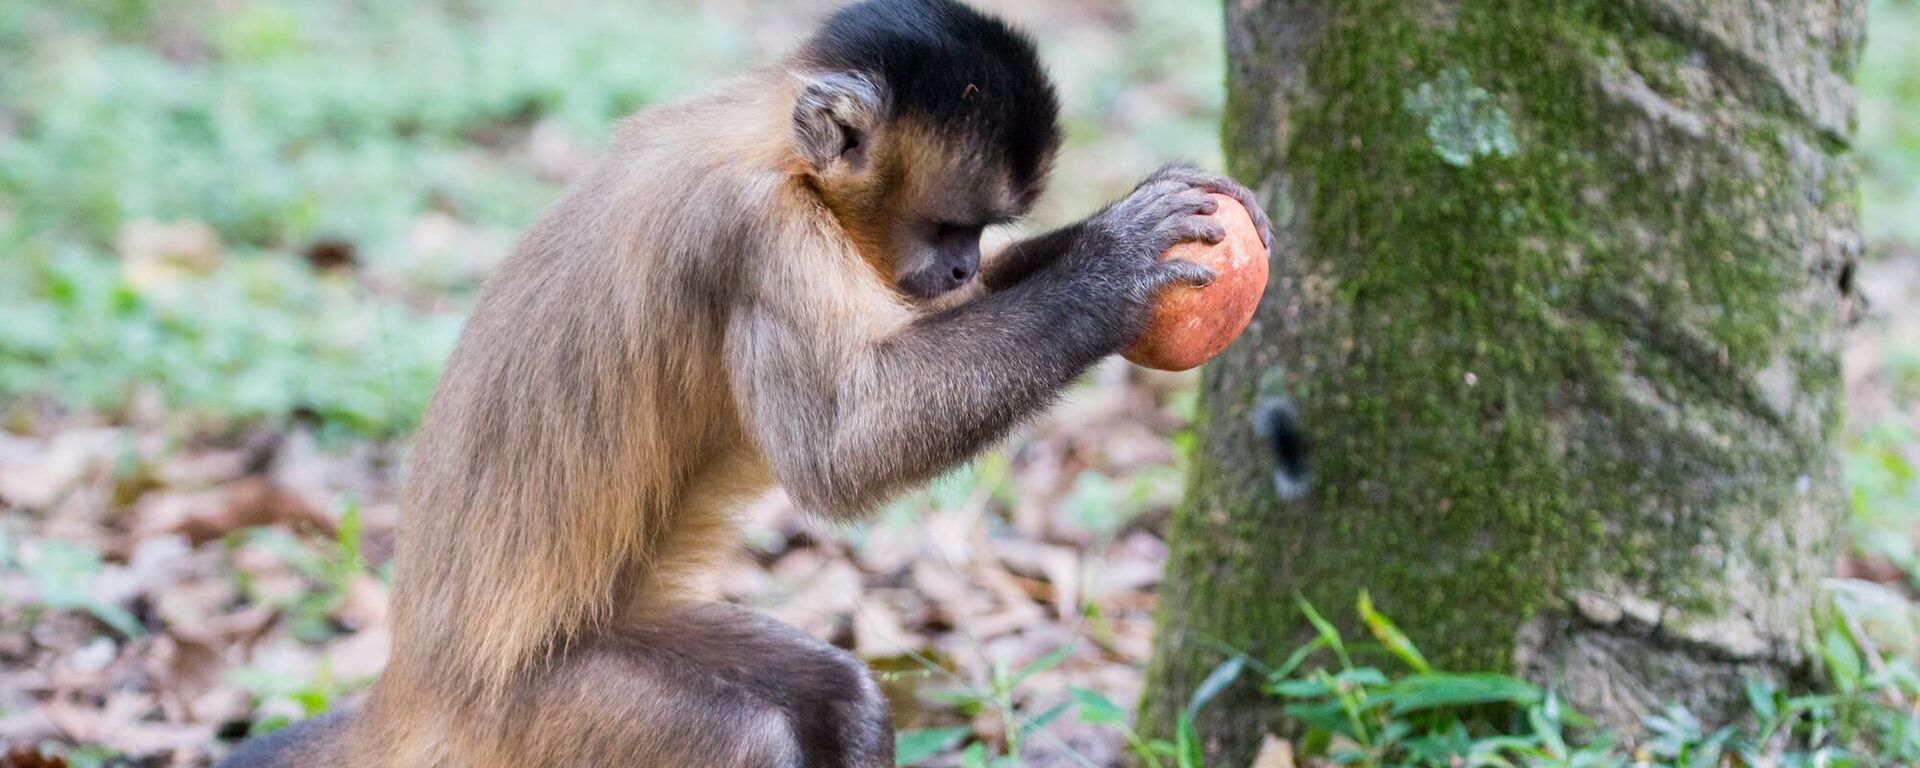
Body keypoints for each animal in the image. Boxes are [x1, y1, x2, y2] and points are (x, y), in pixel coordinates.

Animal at [217, 1, 1267, 768]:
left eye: (982, 234)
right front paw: (1111, 269)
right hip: (535, 721)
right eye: (950, 225)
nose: (966, 266)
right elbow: (843, 450)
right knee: (748, 737)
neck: (773, 149)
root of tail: (411, 694)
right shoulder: (753, 231)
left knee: (841, 699)